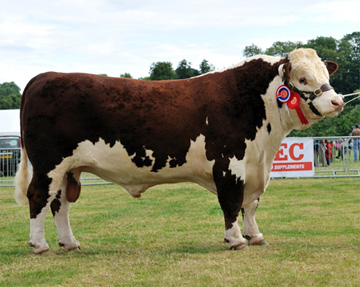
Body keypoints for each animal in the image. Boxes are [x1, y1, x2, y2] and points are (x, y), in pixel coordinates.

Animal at [14, 49, 344, 254]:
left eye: (326, 75)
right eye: (302, 79)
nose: (337, 101)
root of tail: (45, 76)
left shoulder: (255, 166)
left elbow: (250, 204)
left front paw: (256, 236)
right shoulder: (229, 163)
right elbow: (232, 203)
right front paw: (236, 239)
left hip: (68, 169)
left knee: (59, 205)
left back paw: (70, 243)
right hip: (48, 164)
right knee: (38, 198)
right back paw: (40, 245)